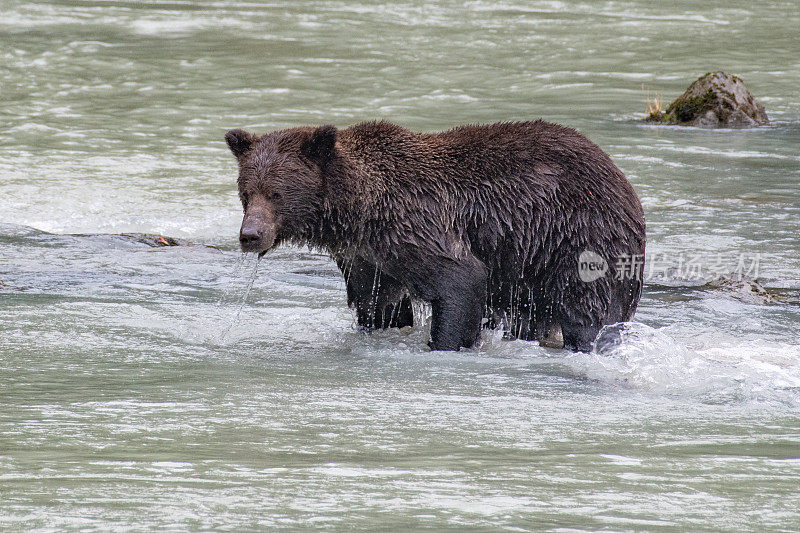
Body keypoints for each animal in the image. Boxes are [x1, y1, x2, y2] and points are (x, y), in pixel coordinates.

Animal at [223, 122, 644, 352]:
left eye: (276, 193)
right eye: (246, 191)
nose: (250, 235)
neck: (356, 211)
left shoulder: (414, 223)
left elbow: (459, 279)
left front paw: (443, 343)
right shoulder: (366, 256)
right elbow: (380, 305)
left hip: (578, 238)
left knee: (589, 312)